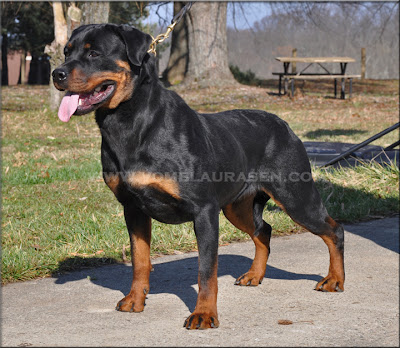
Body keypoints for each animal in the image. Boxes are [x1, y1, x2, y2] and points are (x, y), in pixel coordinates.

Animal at [51, 24, 342, 328]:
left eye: (94, 53)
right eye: (66, 52)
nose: (56, 74)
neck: (131, 122)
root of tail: (285, 125)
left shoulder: (204, 210)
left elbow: (206, 271)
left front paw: (204, 313)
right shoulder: (133, 208)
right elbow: (139, 260)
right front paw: (135, 299)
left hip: (295, 197)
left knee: (333, 230)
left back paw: (334, 279)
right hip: (236, 207)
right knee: (263, 230)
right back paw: (254, 275)